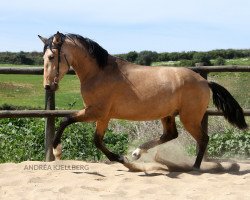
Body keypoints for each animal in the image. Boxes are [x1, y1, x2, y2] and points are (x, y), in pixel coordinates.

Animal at [38, 32, 247, 170]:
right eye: (43, 57)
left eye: (51, 56)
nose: (47, 86)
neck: (98, 73)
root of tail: (204, 81)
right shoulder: (103, 116)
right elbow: (96, 139)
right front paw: (124, 160)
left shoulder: (95, 111)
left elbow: (67, 120)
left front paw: (57, 151)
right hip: (168, 114)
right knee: (170, 135)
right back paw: (138, 153)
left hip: (190, 118)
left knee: (203, 139)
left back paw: (194, 168)